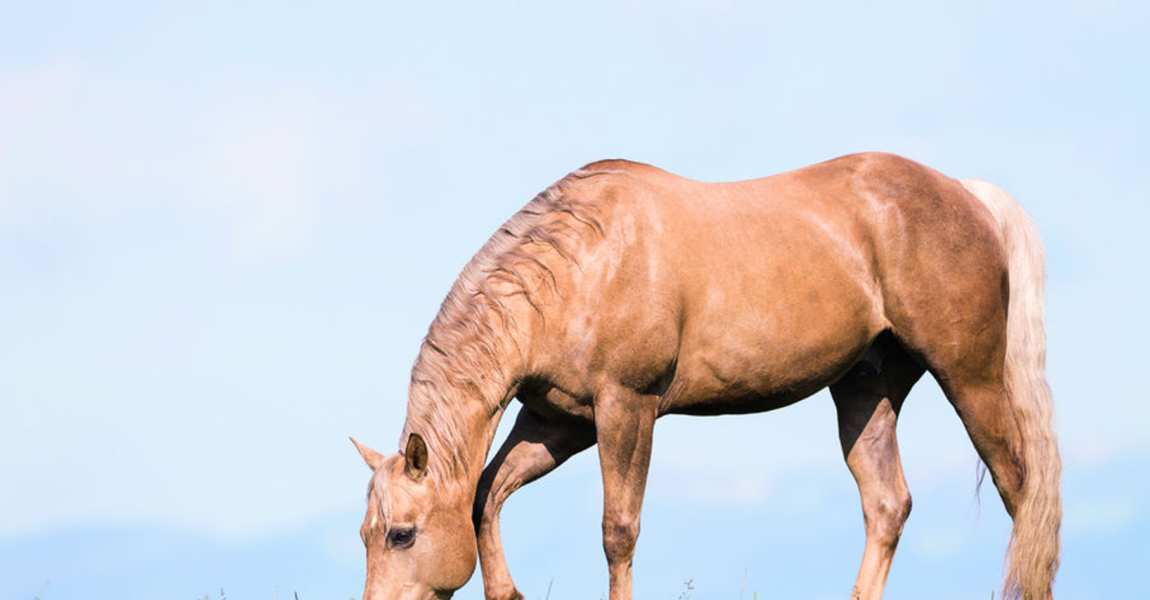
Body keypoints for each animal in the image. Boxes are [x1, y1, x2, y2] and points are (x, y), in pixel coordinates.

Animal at [347, 151, 1058, 597]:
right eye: (365, 535)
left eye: (403, 535)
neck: (580, 266)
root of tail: (966, 193)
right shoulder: (559, 423)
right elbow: (485, 496)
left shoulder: (627, 409)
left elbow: (618, 532)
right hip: (868, 389)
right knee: (888, 505)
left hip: (970, 377)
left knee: (1021, 493)